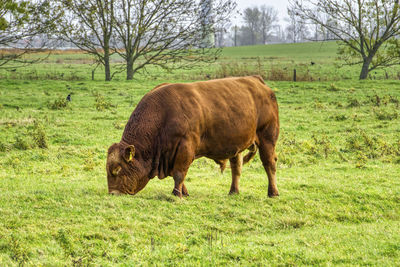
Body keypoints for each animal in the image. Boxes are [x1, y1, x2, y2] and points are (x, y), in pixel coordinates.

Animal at [107, 75, 282, 199]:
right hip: (237, 145)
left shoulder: (185, 148)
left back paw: (273, 192)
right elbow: (179, 174)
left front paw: (176, 194)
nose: (113, 193)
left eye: (117, 169)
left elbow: (179, 173)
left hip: (267, 139)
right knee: (236, 168)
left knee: (269, 164)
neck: (163, 115)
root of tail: (256, 80)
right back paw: (233, 191)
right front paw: (183, 193)